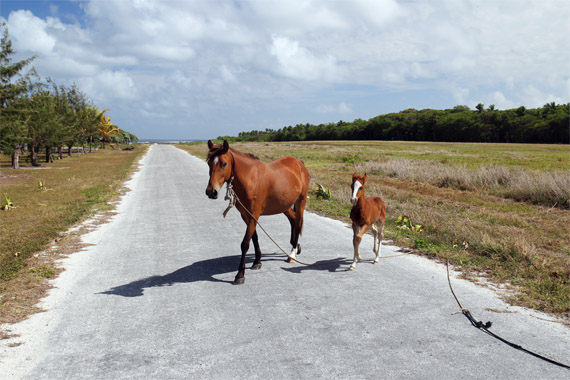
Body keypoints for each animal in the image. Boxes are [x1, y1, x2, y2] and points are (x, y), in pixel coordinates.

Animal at [205, 141, 308, 284]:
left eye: (224, 164)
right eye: (209, 163)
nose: (211, 192)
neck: (250, 180)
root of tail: (299, 163)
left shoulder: (254, 214)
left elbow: (245, 243)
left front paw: (240, 274)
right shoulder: (246, 215)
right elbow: (254, 238)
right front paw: (257, 261)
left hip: (300, 201)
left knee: (298, 222)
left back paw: (292, 254)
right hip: (284, 205)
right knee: (293, 220)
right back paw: (295, 246)